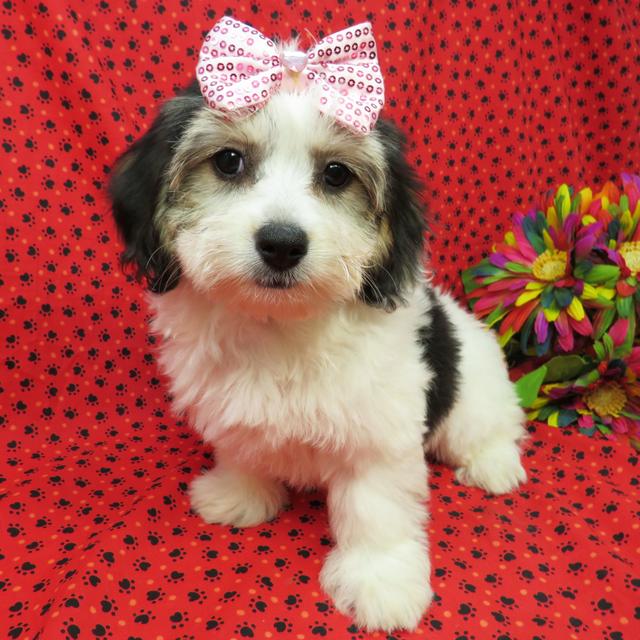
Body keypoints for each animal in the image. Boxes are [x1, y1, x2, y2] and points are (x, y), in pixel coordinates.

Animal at [109, 18, 524, 632]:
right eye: (228, 162)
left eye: (335, 174)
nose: (282, 243)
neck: (282, 327)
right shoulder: (231, 405)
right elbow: (242, 449)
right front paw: (240, 495)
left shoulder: (381, 428)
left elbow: (375, 506)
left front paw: (381, 581)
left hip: (475, 388)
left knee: (486, 425)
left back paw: (495, 464)